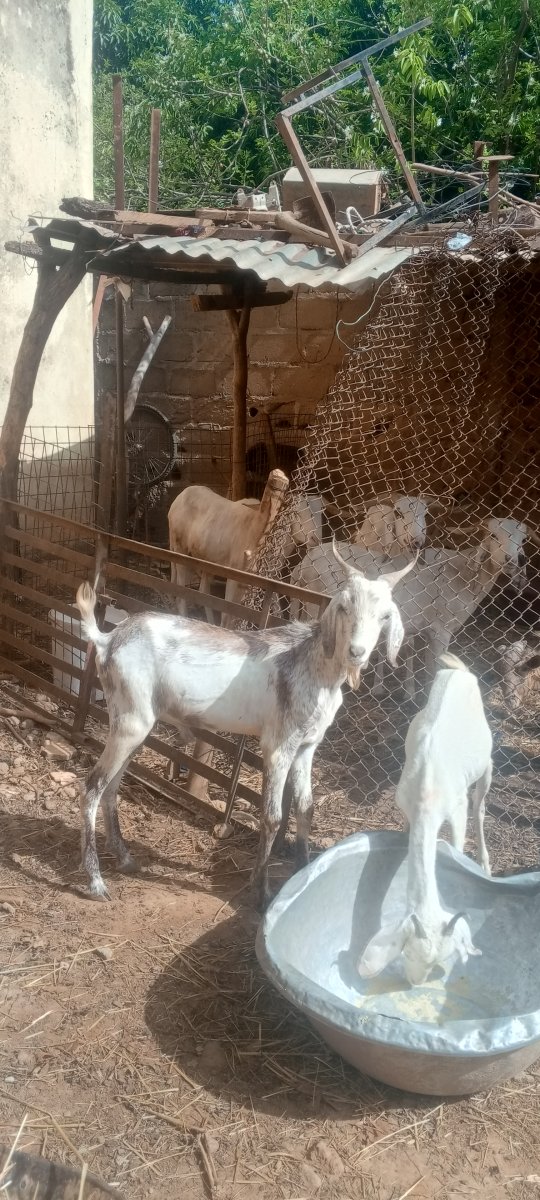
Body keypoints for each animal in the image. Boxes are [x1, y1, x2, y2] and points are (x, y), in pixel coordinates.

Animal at [74, 545, 415, 907]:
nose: (357, 652)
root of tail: (108, 638)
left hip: (134, 724)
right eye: (345, 606)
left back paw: (124, 858)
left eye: (385, 616)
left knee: (112, 786)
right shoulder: (279, 745)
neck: (312, 665)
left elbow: (306, 808)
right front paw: (262, 891)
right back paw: (96, 882)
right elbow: (273, 816)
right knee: (92, 786)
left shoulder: (307, 746)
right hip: (130, 721)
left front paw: (305, 871)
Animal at [167, 468, 288, 625]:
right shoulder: (235, 573)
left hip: (206, 560)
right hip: (180, 549)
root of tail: (175, 503)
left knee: (202, 591)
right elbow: (228, 612)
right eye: (269, 488)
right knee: (181, 591)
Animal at [358, 653, 492, 986]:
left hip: (487, 762)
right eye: (408, 951)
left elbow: (457, 844)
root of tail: (459, 672)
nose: (416, 983)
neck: (426, 791)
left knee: (480, 806)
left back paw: (485, 863)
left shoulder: (456, 812)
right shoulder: (405, 803)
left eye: (442, 958)